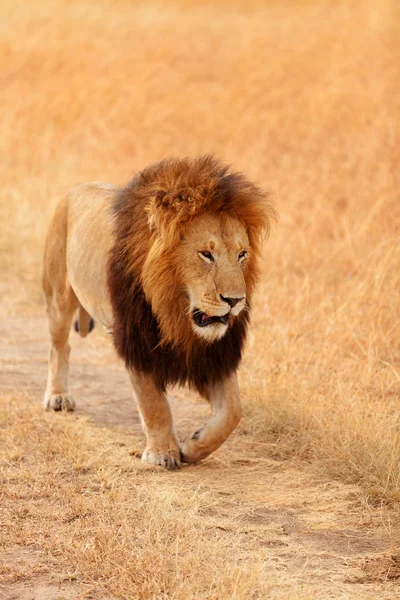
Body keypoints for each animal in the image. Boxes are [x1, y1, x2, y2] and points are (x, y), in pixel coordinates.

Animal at [43, 155, 276, 468]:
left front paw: (194, 445)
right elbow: (153, 402)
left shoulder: (212, 355)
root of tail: (76, 188)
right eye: (206, 254)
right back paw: (57, 397)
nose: (236, 300)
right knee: (59, 347)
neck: (175, 310)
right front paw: (163, 453)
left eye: (242, 255)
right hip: (59, 297)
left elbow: (233, 411)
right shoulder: (139, 343)